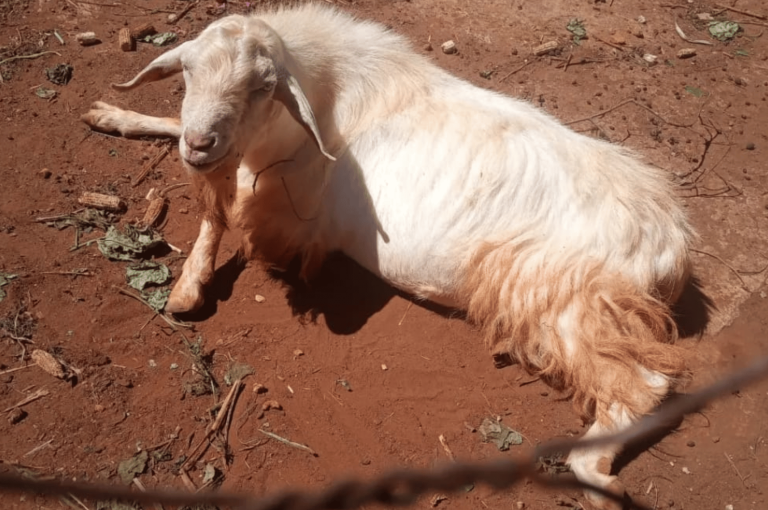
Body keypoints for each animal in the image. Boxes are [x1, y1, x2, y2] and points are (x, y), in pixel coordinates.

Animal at [82, 2, 696, 506]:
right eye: (187, 70)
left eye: (262, 87)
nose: (201, 143)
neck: (323, 99)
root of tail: (669, 238)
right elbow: (184, 148)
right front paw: (111, 114)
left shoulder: (284, 213)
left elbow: (221, 213)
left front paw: (188, 287)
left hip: (563, 298)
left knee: (645, 385)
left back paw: (596, 476)